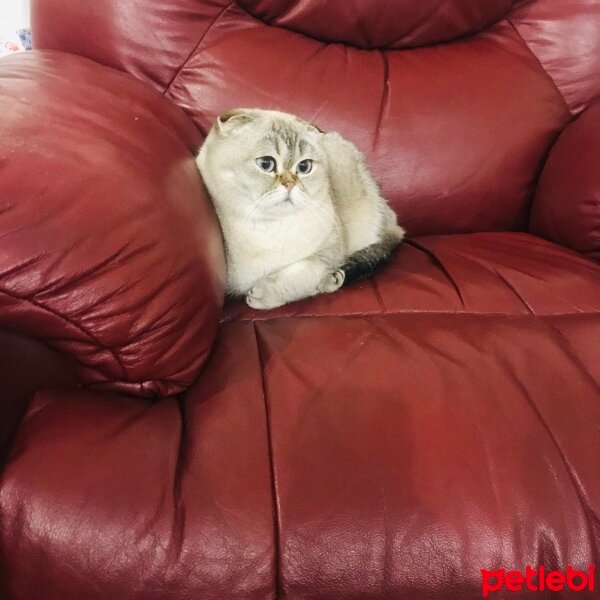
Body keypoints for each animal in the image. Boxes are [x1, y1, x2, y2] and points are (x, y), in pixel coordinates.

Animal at [195, 107, 406, 310]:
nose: (290, 184)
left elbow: (303, 274)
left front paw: (262, 294)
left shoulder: (328, 256)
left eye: (304, 167)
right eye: (266, 164)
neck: (271, 229)